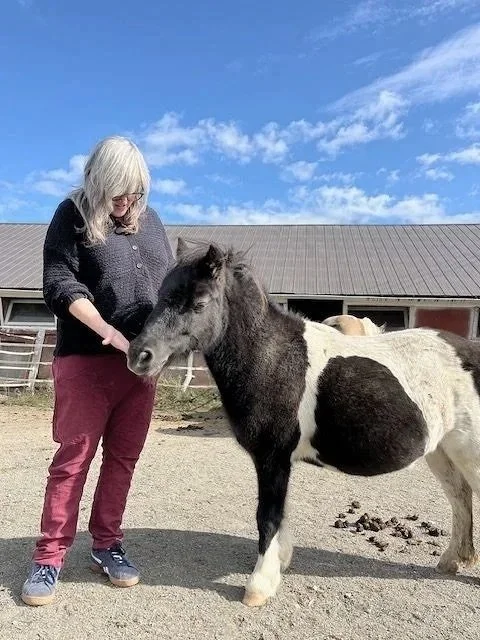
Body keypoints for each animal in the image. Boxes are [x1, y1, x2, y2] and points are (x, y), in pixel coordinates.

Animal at [127, 239, 480, 607]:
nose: (139, 355)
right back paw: (452, 560)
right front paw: (280, 563)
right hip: (441, 450)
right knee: (459, 495)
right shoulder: (278, 462)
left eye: (199, 302)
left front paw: (259, 586)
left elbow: (267, 517)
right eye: (162, 294)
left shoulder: (272, 458)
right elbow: (280, 514)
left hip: (469, 449)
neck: (274, 358)